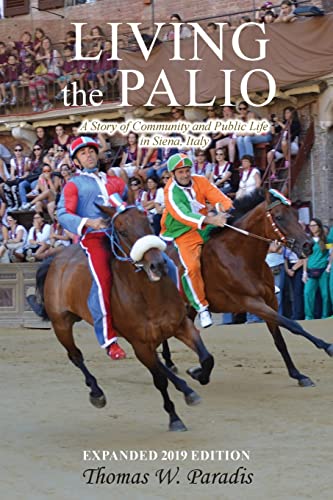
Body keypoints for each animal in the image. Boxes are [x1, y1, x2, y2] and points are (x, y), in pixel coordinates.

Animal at [29, 205, 214, 432]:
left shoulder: (181, 325)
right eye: (123, 232)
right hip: (61, 324)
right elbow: (159, 381)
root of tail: (56, 259)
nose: (158, 264)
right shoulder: (140, 343)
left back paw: (186, 389)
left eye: (148, 222)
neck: (149, 296)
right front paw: (174, 418)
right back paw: (97, 392)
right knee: (76, 356)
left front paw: (198, 376)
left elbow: (206, 358)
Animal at [170, 189, 330, 388]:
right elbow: (293, 324)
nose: (308, 246)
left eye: (295, 214)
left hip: (188, 308)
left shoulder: (270, 301)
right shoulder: (251, 302)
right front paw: (327, 346)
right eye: (279, 217)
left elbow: (280, 340)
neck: (239, 255)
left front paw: (298, 374)